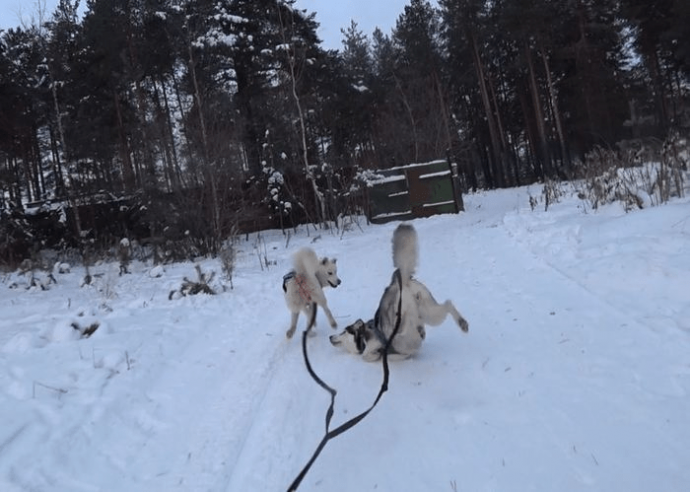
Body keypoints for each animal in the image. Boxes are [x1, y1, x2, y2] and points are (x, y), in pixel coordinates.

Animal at [330, 224, 468, 362]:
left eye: (344, 331)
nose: (330, 337)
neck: (363, 336)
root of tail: (400, 282)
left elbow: (369, 356)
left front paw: (378, 354)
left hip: (396, 318)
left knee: (401, 329)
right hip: (430, 313)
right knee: (447, 304)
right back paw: (460, 323)